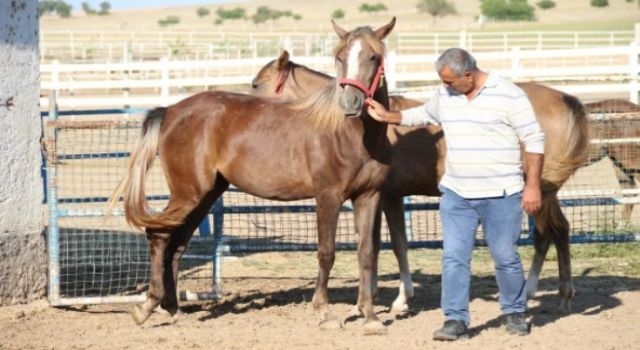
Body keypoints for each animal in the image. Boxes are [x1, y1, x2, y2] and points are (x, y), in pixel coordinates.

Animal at [110, 18, 400, 334]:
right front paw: (325, 313)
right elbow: (327, 252)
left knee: (176, 245)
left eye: (373, 57)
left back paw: (174, 310)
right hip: (188, 193)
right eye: (340, 57)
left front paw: (370, 316)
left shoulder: (368, 197)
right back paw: (147, 307)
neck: (350, 135)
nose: (350, 103)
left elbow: (367, 253)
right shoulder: (328, 197)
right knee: (159, 236)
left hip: (205, 195)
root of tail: (171, 111)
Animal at [250, 50, 592, 314]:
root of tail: (564, 98)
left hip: (538, 191)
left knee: (552, 232)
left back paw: (550, 293)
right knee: (554, 233)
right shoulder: (382, 197)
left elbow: (395, 244)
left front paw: (400, 300)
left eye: (256, 84)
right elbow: (376, 244)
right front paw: (374, 293)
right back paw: (545, 293)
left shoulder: (387, 196)